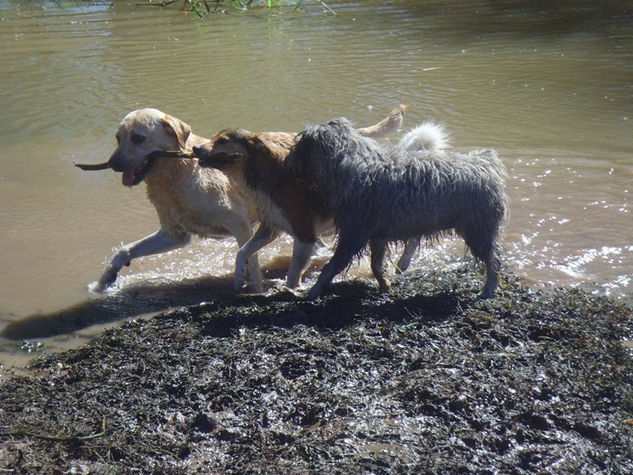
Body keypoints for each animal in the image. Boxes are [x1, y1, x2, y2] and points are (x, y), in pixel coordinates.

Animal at [286, 117, 508, 300]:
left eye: (299, 145)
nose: (287, 161)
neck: (348, 165)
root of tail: (486, 164)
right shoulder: (377, 237)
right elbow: (376, 265)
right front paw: (385, 284)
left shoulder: (353, 235)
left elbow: (331, 266)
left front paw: (313, 290)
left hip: (479, 230)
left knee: (494, 261)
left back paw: (488, 289)